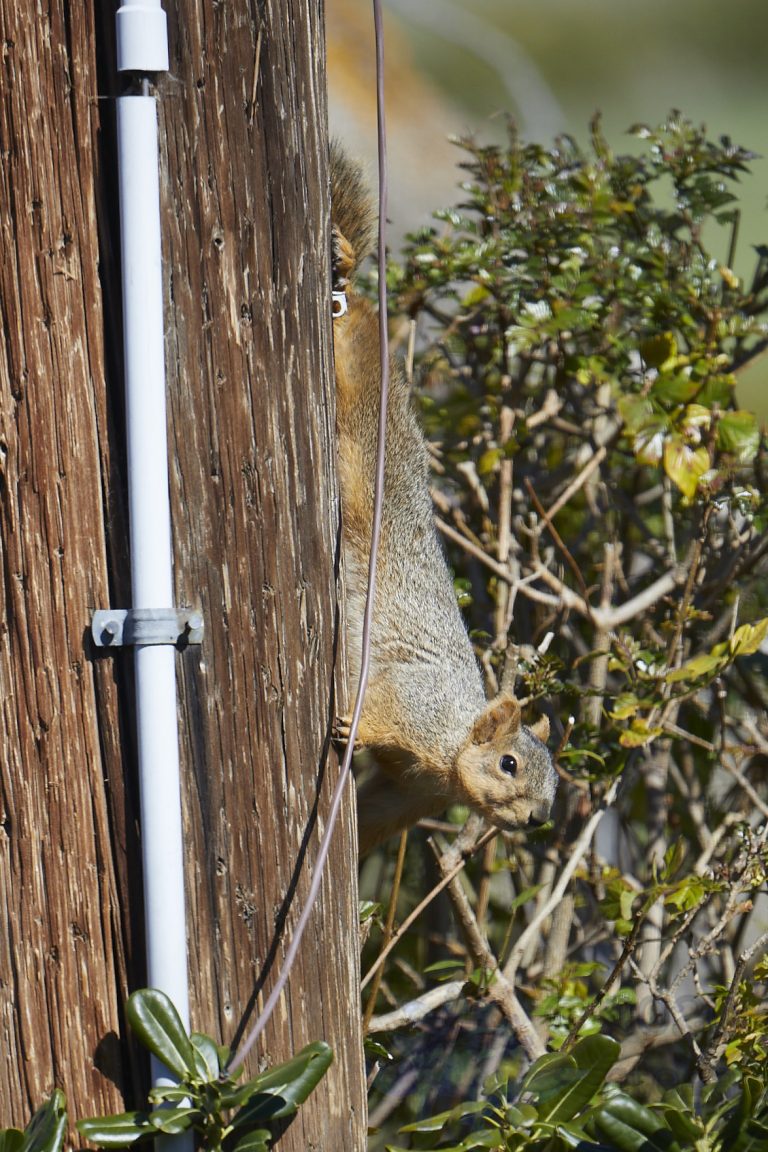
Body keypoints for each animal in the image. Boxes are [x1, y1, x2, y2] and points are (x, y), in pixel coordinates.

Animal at [329, 144, 557, 856]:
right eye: (508, 763)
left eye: (553, 788)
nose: (535, 820)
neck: (453, 743)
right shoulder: (413, 705)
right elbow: (373, 704)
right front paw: (348, 727)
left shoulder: (415, 793)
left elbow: (378, 809)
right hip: (361, 431)